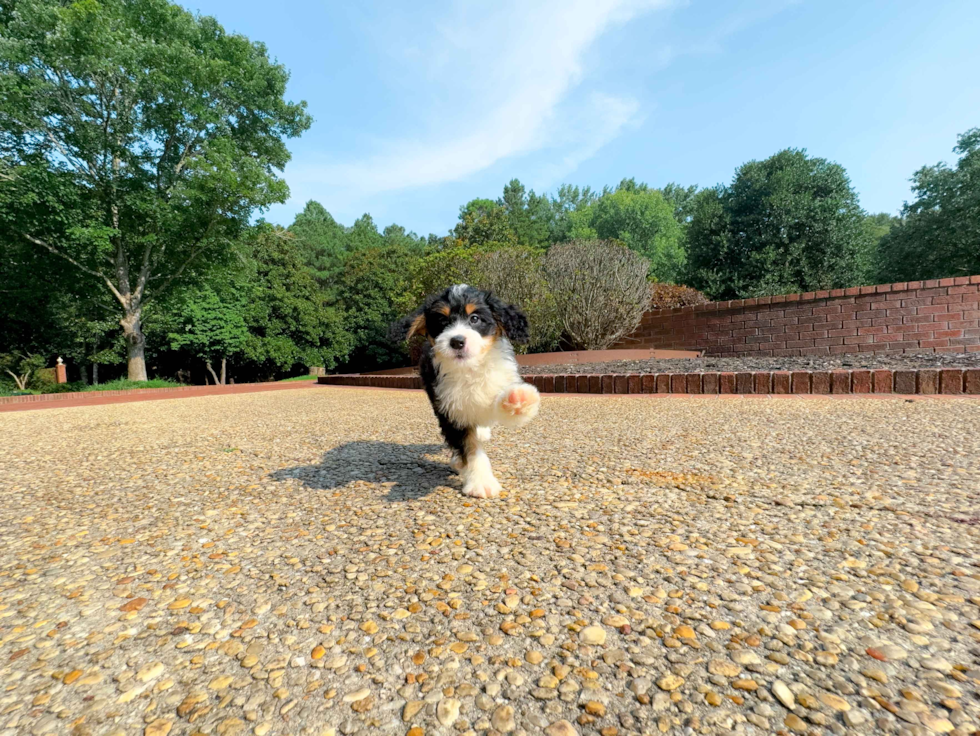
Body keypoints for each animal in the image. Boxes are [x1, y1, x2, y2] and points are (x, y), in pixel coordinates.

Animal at [392, 284, 544, 498]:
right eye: (442, 321)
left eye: (474, 318)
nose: (456, 341)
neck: (470, 369)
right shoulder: (450, 409)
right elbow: (469, 446)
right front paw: (481, 482)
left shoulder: (496, 380)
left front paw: (518, 400)